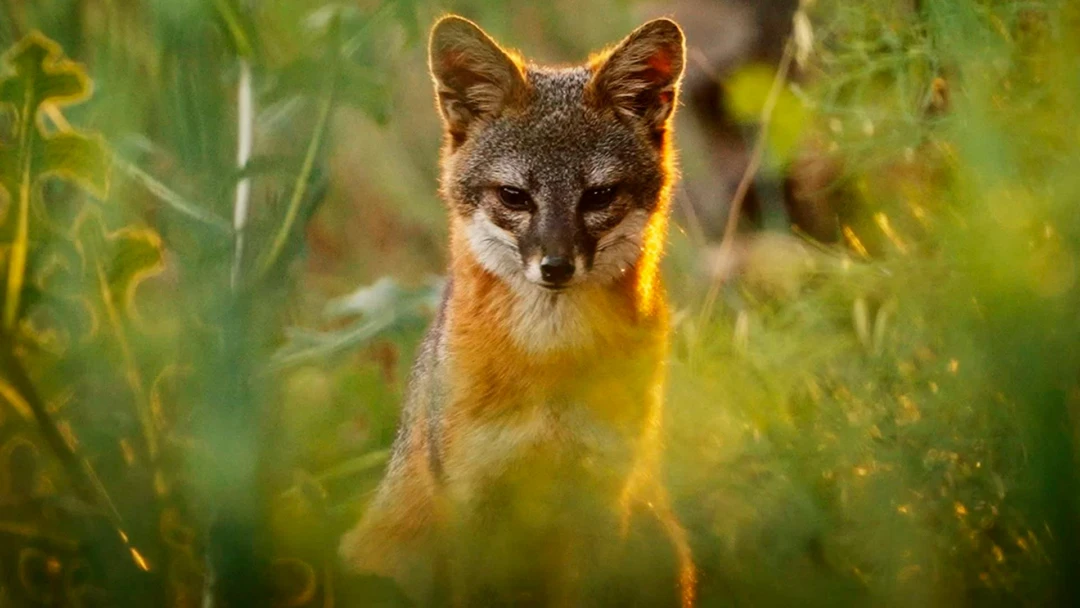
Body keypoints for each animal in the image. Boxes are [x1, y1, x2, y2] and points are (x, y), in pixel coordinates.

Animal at [340, 15, 695, 607]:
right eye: (514, 196)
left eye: (599, 196)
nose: (556, 266)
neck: (550, 360)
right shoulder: (470, 500)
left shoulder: (602, 495)